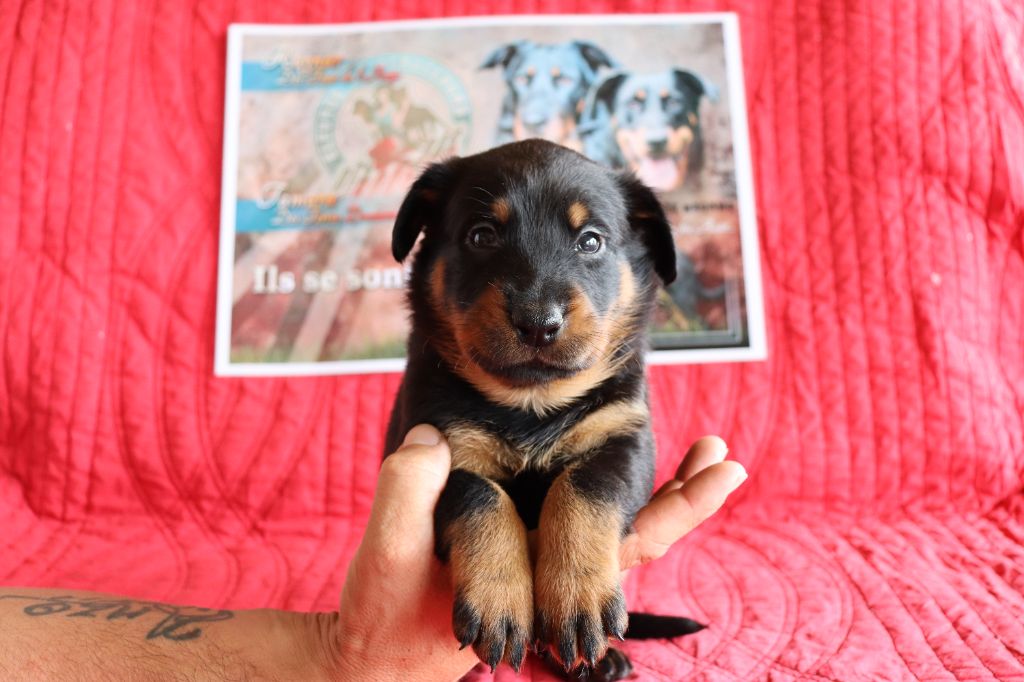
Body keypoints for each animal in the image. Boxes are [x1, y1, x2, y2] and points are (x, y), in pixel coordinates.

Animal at [385, 139, 703, 680]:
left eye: (591, 241)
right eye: (482, 235)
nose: (538, 322)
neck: (531, 404)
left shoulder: (624, 437)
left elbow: (582, 487)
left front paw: (578, 597)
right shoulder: (440, 441)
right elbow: (482, 497)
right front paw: (499, 598)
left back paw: (596, 661)